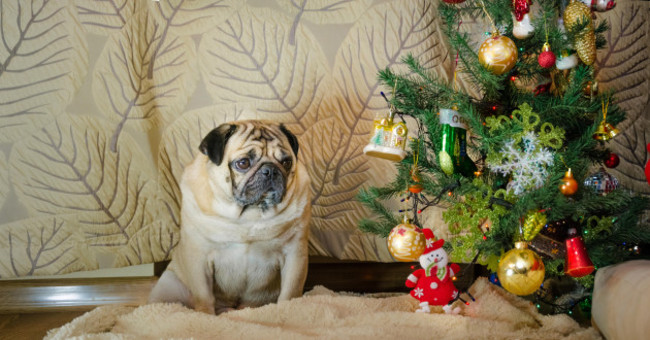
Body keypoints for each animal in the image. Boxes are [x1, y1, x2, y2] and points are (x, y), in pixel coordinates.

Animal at [148, 121, 310, 314]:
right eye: (243, 163)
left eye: (286, 162)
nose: (270, 170)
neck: (249, 214)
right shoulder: (199, 256)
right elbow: (204, 296)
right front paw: (205, 316)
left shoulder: (295, 254)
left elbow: (290, 292)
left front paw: (289, 311)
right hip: (168, 286)